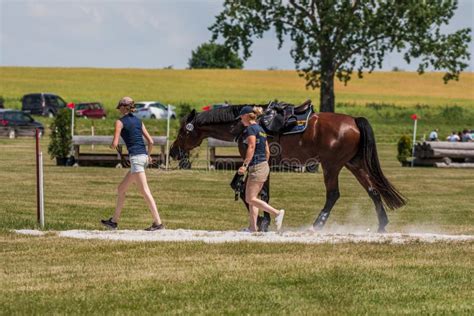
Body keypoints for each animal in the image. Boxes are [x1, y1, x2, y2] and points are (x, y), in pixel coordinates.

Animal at [168, 105, 406, 231]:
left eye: (183, 131)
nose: (173, 152)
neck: (245, 125)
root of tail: (354, 120)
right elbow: (260, 193)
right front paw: (263, 220)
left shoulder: (257, 163)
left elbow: (250, 193)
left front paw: (262, 221)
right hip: (353, 164)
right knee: (373, 191)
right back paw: (382, 225)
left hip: (331, 166)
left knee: (333, 194)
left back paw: (317, 224)